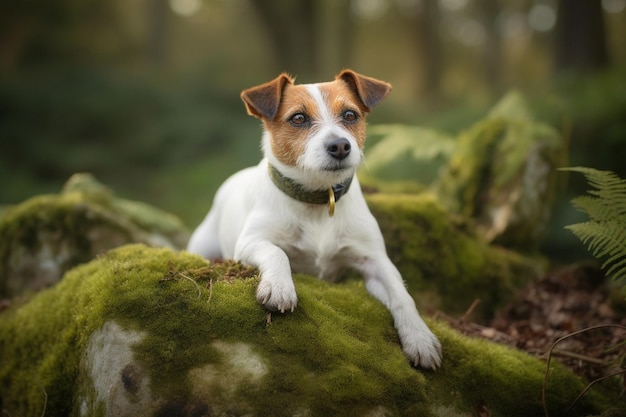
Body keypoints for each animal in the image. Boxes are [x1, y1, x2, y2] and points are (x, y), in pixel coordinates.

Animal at [188, 70, 442, 368]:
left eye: (350, 115)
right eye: (298, 118)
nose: (340, 145)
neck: (319, 200)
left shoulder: (375, 261)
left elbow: (402, 295)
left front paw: (420, 337)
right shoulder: (249, 243)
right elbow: (276, 252)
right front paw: (279, 287)